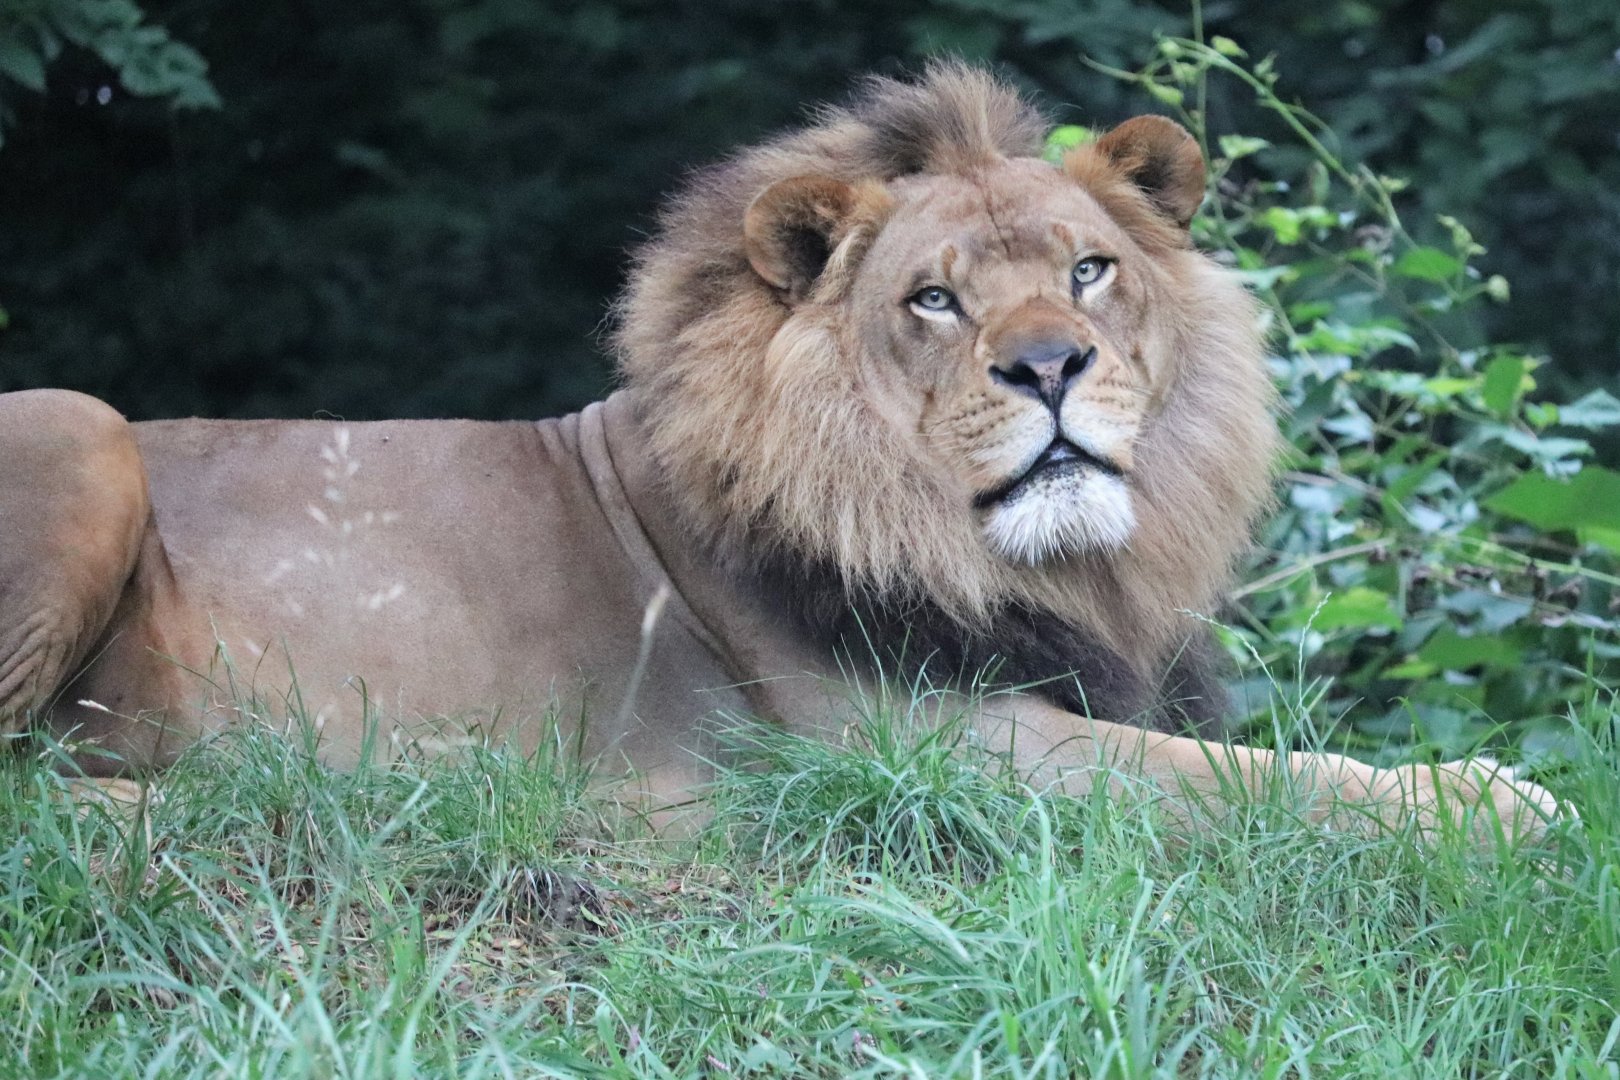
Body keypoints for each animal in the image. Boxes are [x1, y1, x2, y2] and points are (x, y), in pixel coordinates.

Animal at [0, 63, 1559, 842]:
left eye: (1091, 269)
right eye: (934, 300)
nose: (1050, 366)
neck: (1043, 568)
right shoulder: (930, 748)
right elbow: (1256, 783)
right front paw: (1496, 801)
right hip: (75, 422)